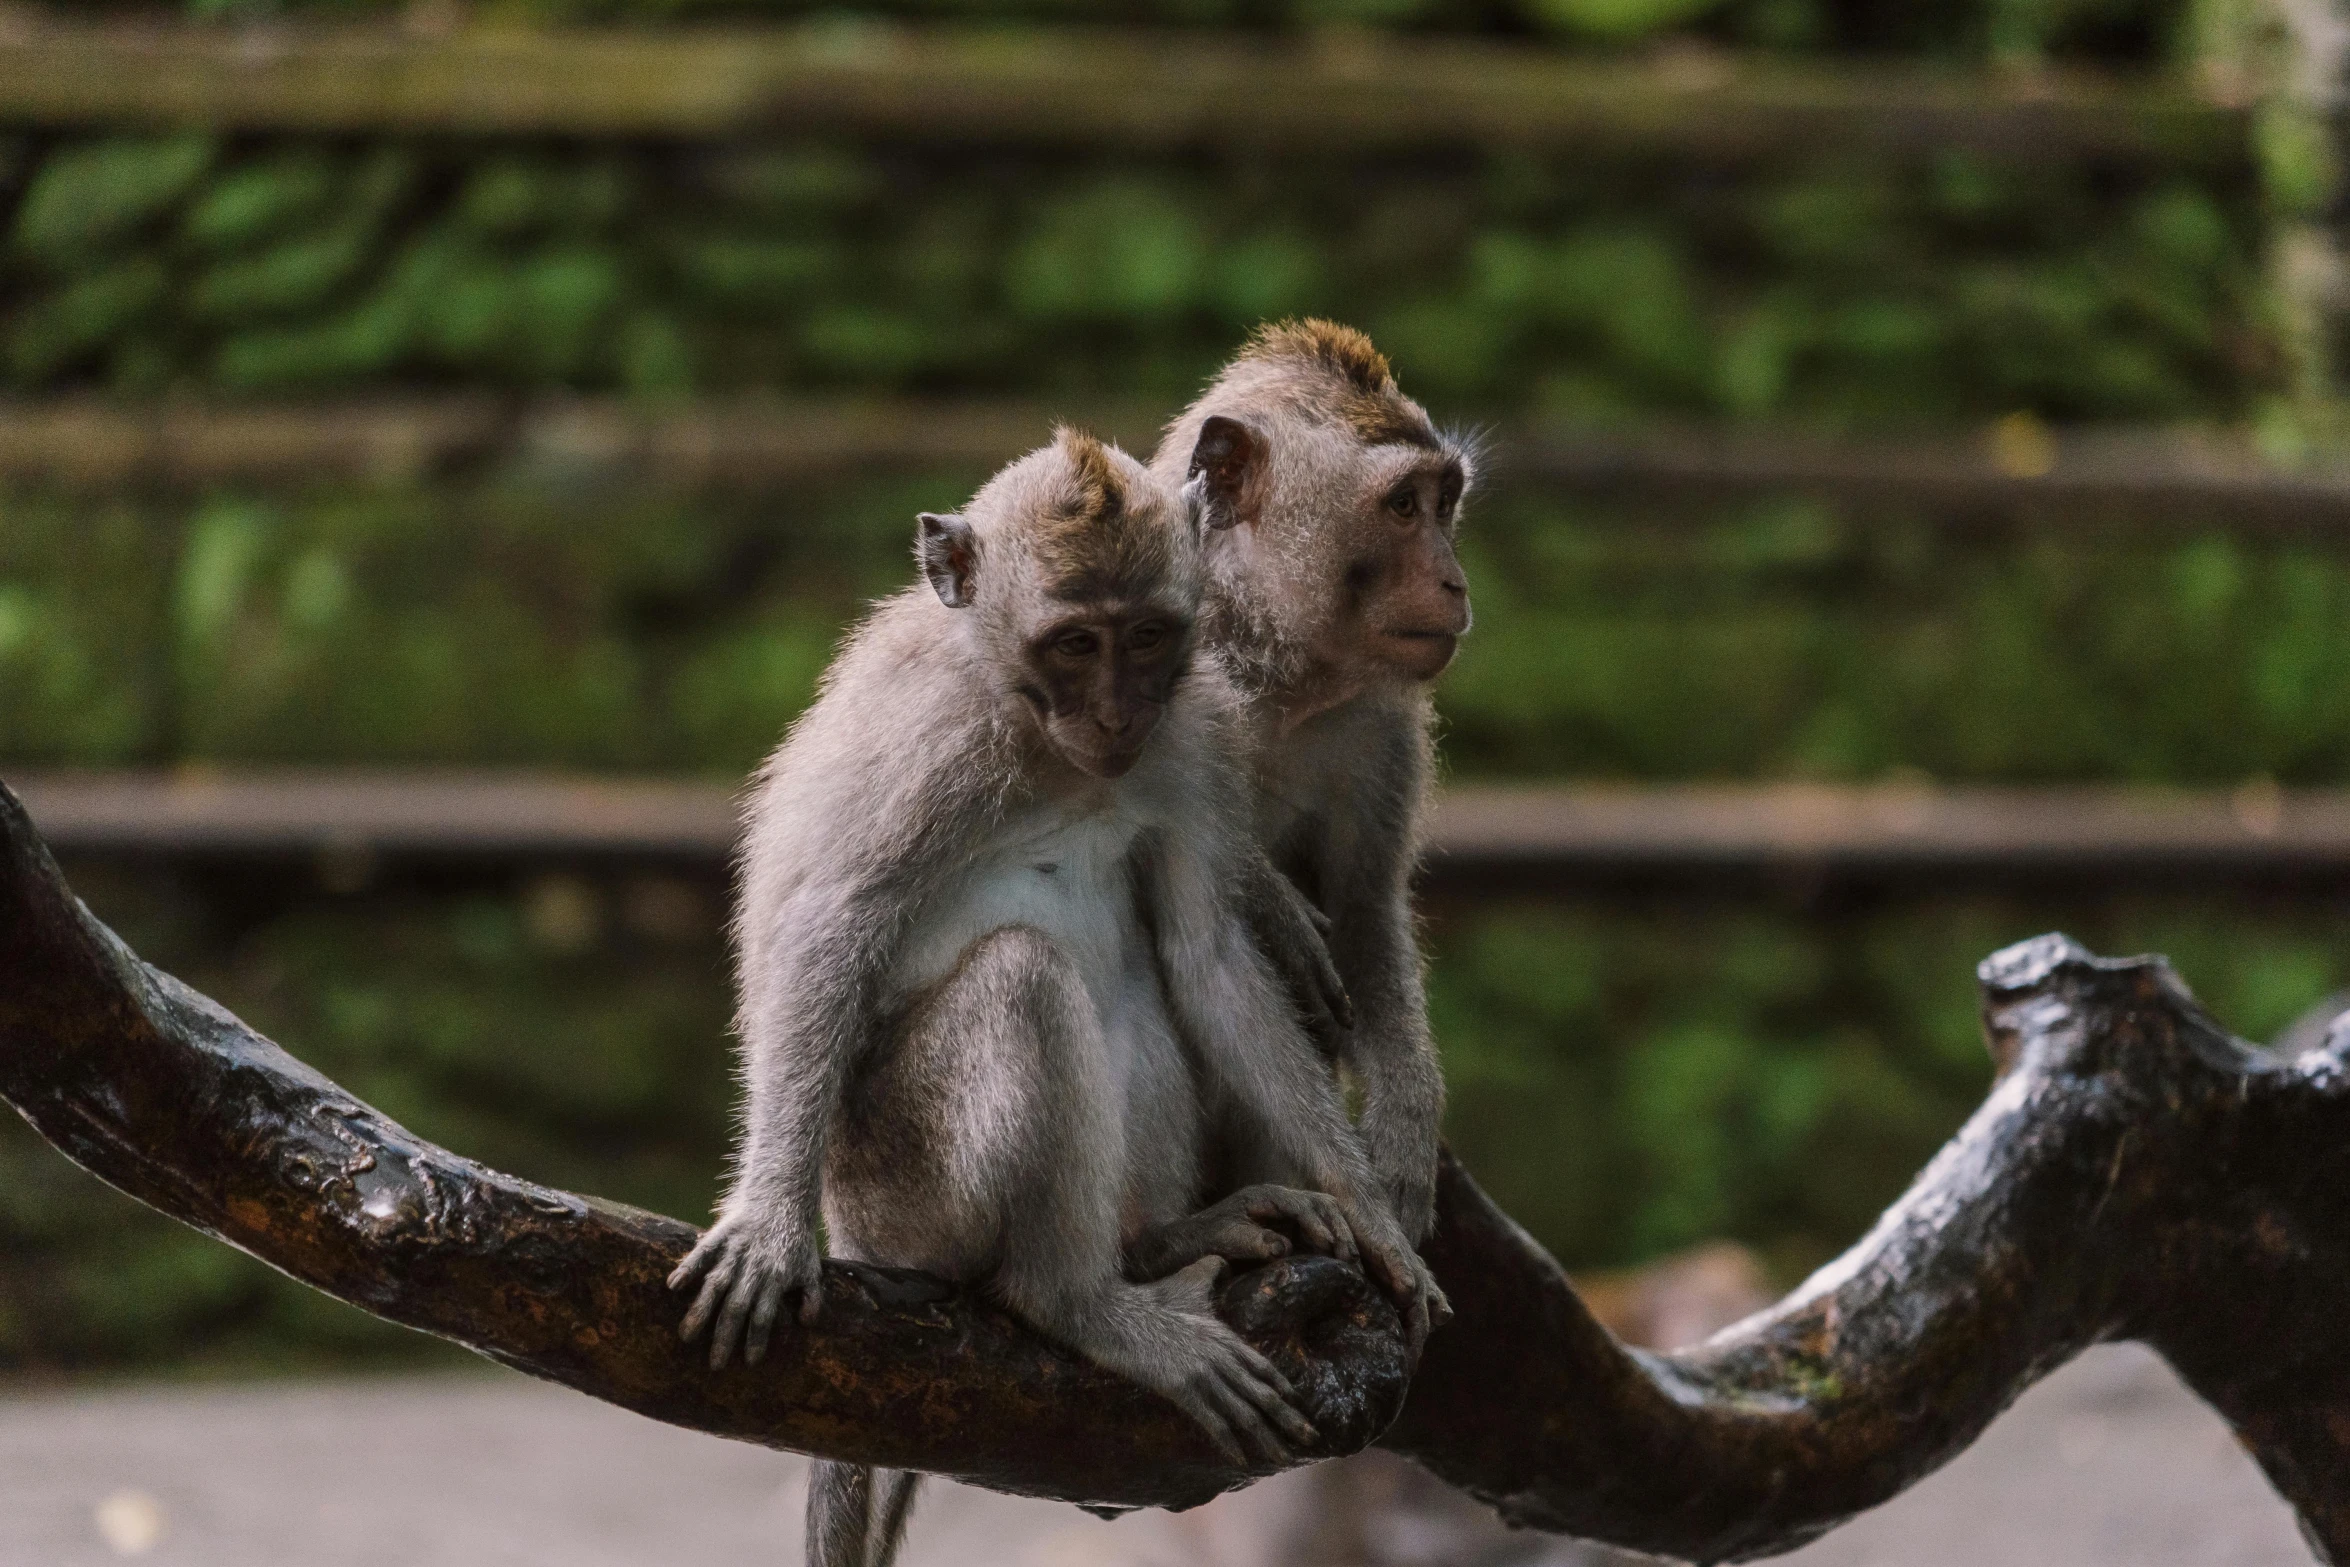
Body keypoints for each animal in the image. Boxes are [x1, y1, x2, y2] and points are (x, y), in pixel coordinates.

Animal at [667, 425, 1447, 1567]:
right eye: (1074, 644)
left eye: (1149, 635)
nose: (1118, 710)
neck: (1042, 739)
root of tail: (858, 1232)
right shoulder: (929, 739)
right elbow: (829, 925)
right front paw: (768, 1220)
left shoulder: (1192, 735)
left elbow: (1207, 956)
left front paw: (1375, 1215)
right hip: (900, 1189)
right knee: (1024, 977)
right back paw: (1075, 1301)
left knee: (1138, 983)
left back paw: (1163, 1242)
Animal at [1151, 319, 1475, 1259]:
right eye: (1402, 506)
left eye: (1445, 503)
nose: (1456, 581)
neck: (1269, 673)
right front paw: (1272, 902)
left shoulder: (1382, 727)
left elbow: (1364, 907)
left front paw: (1407, 1126)